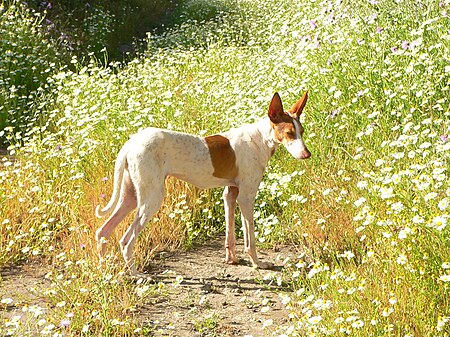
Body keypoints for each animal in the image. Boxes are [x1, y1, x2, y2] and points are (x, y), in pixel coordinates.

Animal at [95, 91, 312, 272]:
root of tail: (131, 143)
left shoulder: (230, 193)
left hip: (131, 196)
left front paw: (231, 259)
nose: (307, 154)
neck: (259, 139)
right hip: (151, 199)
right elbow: (250, 238)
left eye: (301, 131)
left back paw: (105, 271)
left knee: (103, 231)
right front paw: (257, 263)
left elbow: (230, 233)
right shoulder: (246, 197)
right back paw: (136, 275)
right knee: (125, 240)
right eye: (289, 133)